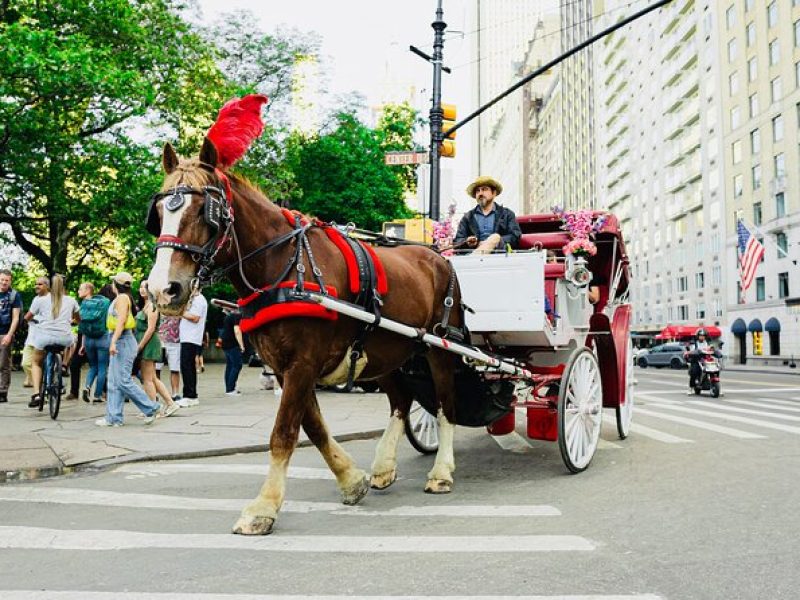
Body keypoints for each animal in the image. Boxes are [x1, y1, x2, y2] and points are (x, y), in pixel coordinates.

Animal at [147, 138, 466, 536]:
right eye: (159, 211)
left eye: (207, 212)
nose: (163, 289)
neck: (284, 265)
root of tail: (439, 256)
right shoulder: (286, 367)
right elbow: (313, 428)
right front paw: (351, 480)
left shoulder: (303, 363)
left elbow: (284, 433)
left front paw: (263, 508)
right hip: (387, 352)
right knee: (401, 401)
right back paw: (383, 466)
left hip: (440, 347)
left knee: (445, 405)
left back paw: (441, 471)